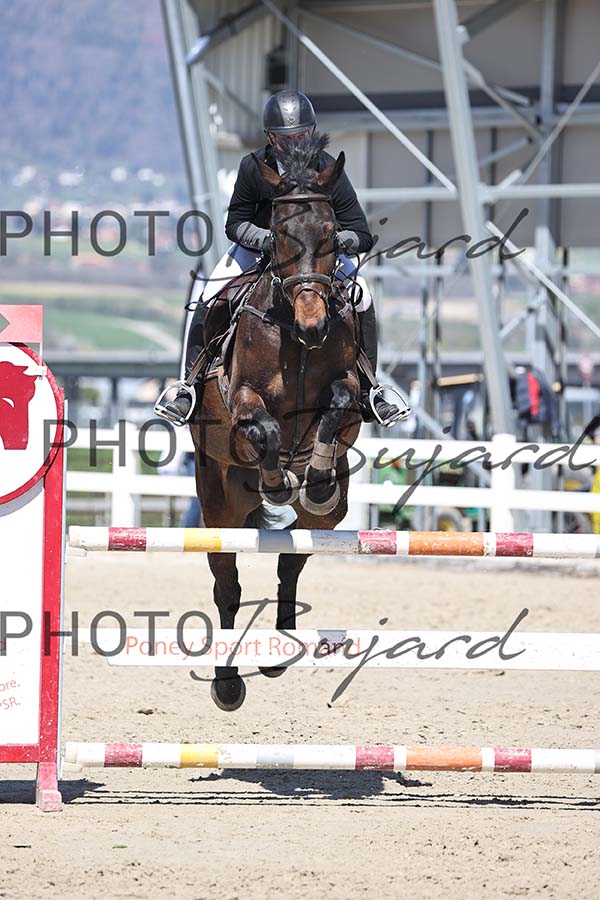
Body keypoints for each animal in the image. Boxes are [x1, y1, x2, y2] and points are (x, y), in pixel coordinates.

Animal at [189, 137, 362, 710]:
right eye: (280, 233)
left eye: (331, 232)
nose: (314, 325)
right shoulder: (242, 399)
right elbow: (263, 429)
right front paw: (277, 480)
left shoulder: (348, 393)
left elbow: (337, 405)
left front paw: (317, 479)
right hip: (216, 503)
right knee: (227, 585)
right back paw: (227, 682)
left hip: (325, 524)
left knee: (291, 560)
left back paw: (278, 650)